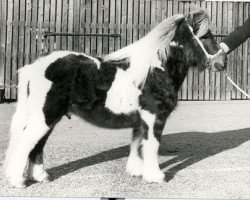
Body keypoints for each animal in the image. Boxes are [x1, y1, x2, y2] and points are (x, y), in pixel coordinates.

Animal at [3, 8, 227, 188]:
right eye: (204, 36)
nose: (221, 63)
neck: (155, 69)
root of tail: (34, 66)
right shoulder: (154, 117)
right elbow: (152, 145)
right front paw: (156, 176)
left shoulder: (140, 120)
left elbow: (138, 145)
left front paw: (137, 172)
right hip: (45, 116)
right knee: (26, 143)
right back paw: (17, 181)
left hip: (48, 118)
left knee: (37, 145)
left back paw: (39, 176)